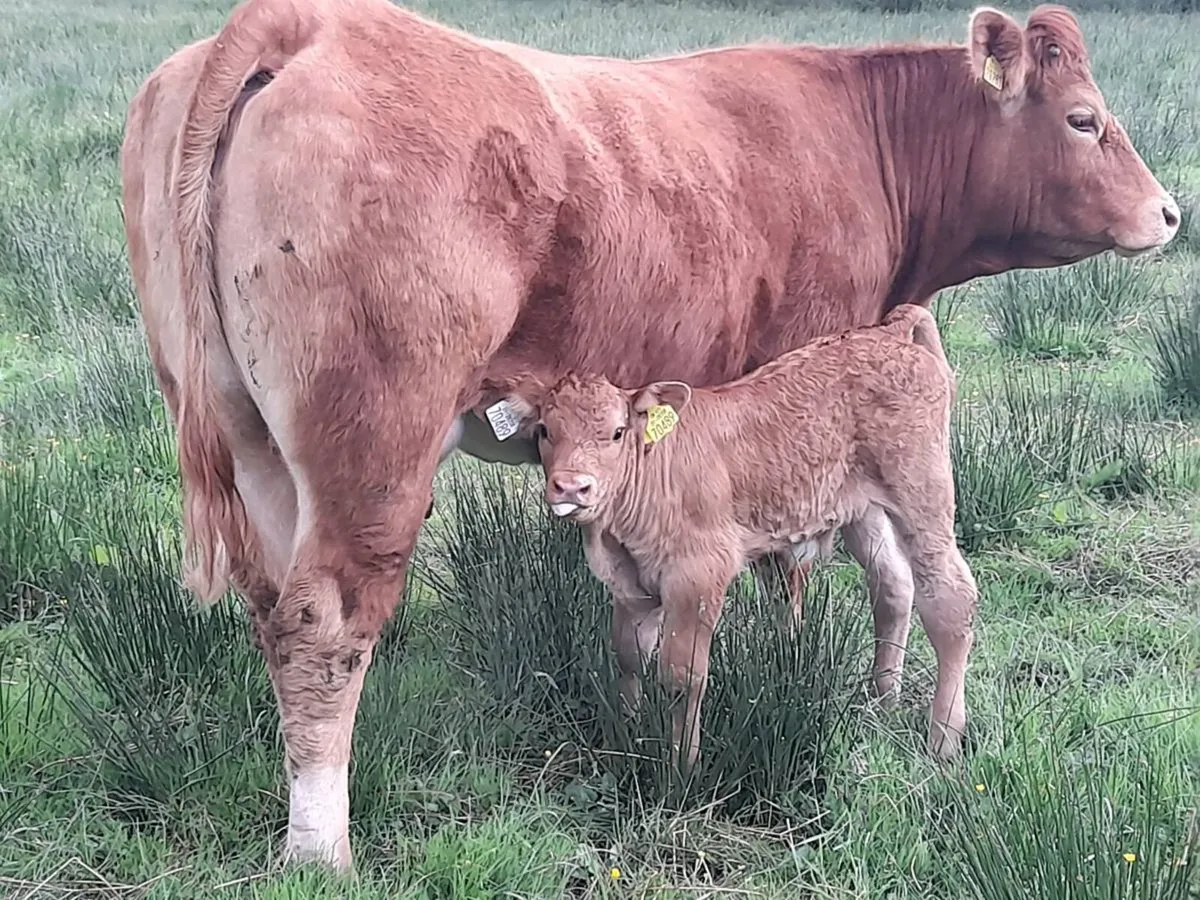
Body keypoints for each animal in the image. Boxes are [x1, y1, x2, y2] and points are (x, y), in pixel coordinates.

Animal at [498, 303, 973, 768]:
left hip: (923, 492)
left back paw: (943, 739)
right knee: (893, 584)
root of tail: (887, 332)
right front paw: (627, 737)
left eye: (616, 433)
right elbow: (629, 656)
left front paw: (682, 768)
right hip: (862, 509)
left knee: (950, 599)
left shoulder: (697, 577)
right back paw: (883, 698)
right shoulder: (631, 585)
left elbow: (682, 677)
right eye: (545, 430)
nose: (571, 487)